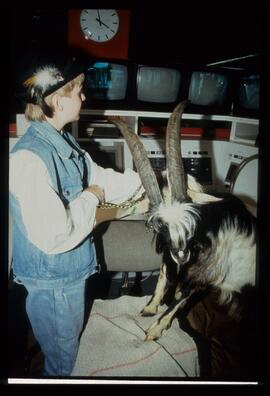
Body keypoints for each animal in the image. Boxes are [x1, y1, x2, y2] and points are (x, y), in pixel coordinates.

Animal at [112, 101, 258, 340]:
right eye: (158, 225)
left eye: (192, 218)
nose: (182, 254)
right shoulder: (168, 252)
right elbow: (163, 277)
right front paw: (150, 308)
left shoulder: (204, 274)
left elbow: (180, 300)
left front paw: (154, 331)